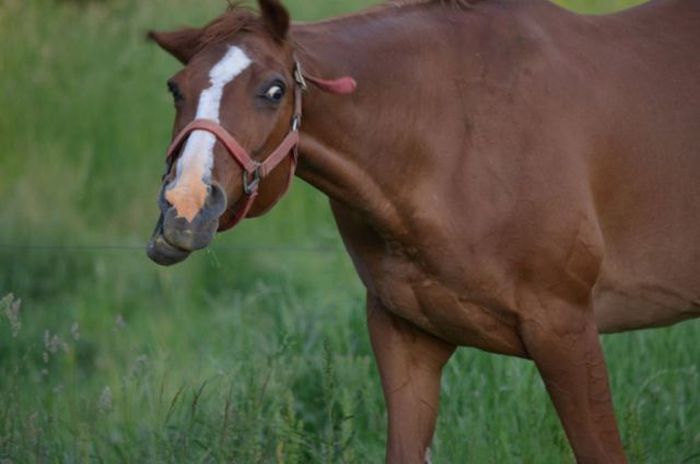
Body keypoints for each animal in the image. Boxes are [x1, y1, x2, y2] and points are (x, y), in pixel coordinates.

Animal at [146, 0, 700, 460]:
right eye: (175, 89)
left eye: (273, 90)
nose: (186, 206)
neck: (456, 136)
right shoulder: (405, 337)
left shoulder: (566, 331)